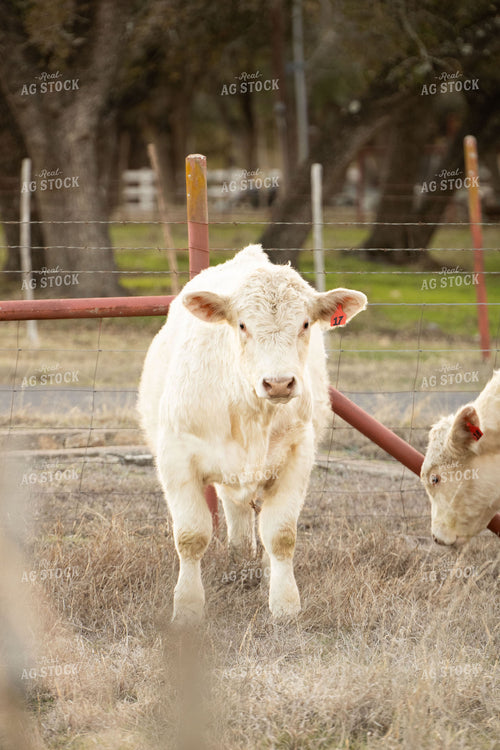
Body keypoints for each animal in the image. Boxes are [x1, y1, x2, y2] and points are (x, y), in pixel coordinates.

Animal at [138, 245, 367, 623]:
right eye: (243, 324)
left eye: (305, 323)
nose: (279, 383)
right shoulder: (176, 457)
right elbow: (191, 536)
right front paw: (187, 607)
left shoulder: (297, 455)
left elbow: (281, 535)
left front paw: (285, 604)